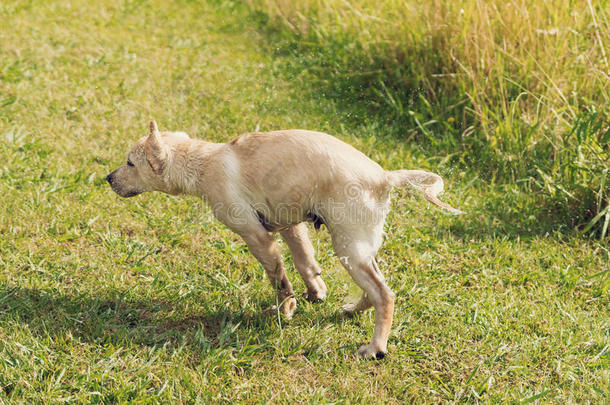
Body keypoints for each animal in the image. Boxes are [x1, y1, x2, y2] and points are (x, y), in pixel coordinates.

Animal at [107, 119, 458, 356]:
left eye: (130, 163)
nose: (108, 178)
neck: (203, 162)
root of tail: (384, 177)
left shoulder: (256, 236)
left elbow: (278, 277)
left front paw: (285, 309)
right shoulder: (290, 224)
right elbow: (305, 263)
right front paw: (315, 293)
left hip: (348, 246)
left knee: (385, 294)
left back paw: (375, 347)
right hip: (358, 247)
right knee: (374, 287)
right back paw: (353, 309)